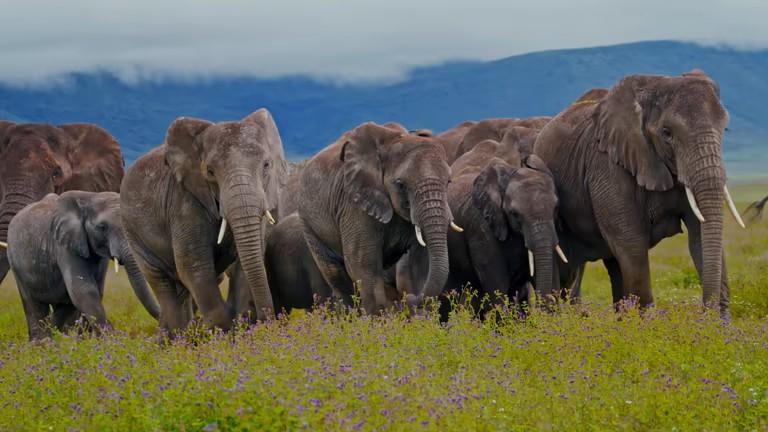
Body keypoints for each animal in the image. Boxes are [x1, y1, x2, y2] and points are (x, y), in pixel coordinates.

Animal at [6, 191, 159, 341]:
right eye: (102, 227)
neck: (91, 197)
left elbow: (94, 290)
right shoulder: (63, 243)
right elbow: (84, 289)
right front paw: (110, 341)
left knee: (65, 304)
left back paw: (57, 339)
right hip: (15, 261)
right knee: (34, 304)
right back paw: (41, 343)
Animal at [120, 109, 288, 333]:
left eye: (266, 165)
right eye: (209, 172)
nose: (267, 322)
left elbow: (247, 259)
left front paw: (240, 328)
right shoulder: (184, 202)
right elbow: (194, 266)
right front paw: (225, 334)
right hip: (132, 232)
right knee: (161, 282)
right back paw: (179, 337)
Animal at [298, 122, 462, 314]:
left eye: (448, 182)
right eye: (401, 184)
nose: (410, 298)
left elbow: (421, 263)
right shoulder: (354, 204)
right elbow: (363, 266)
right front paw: (379, 319)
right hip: (308, 223)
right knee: (336, 275)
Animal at [533, 70, 745, 315]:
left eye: (724, 129)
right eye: (667, 133)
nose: (705, 313)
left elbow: (699, 236)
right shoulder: (606, 166)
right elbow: (631, 242)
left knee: (614, 265)